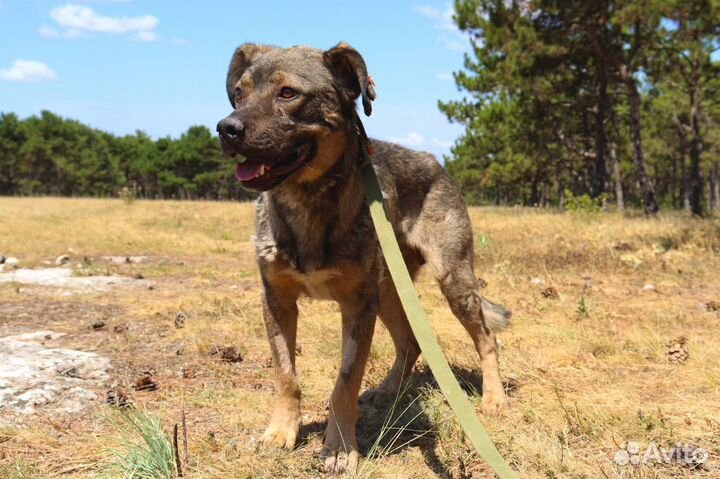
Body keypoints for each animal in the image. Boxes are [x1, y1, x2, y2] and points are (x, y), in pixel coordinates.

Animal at [215, 42, 512, 476]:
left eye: (288, 93)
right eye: (238, 93)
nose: (226, 128)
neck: (307, 201)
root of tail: (434, 161)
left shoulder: (357, 306)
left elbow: (345, 382)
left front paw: (340, 447)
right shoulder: (277, 300)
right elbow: (286, 376)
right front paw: (280, 432)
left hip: (452, 280)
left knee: (486, 338)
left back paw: (494, 398)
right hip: (388, 289)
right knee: (410, 342)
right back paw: (388, 390)